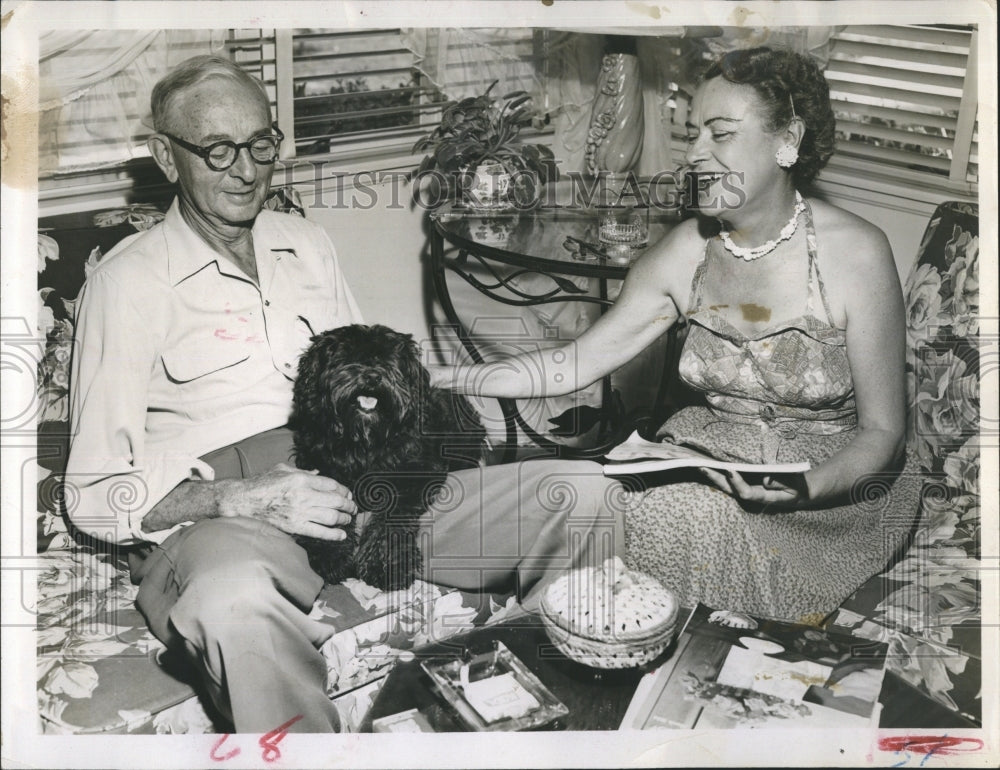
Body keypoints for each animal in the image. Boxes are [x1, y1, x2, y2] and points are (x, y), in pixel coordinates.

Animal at [288, 322, 486, 588]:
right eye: (347, 355)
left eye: (389, 358)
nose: (373, 376)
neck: (365, 441)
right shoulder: (323, 471)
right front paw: (330, 553)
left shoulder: (413, 474)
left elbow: (391, 519)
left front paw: (385, 563)